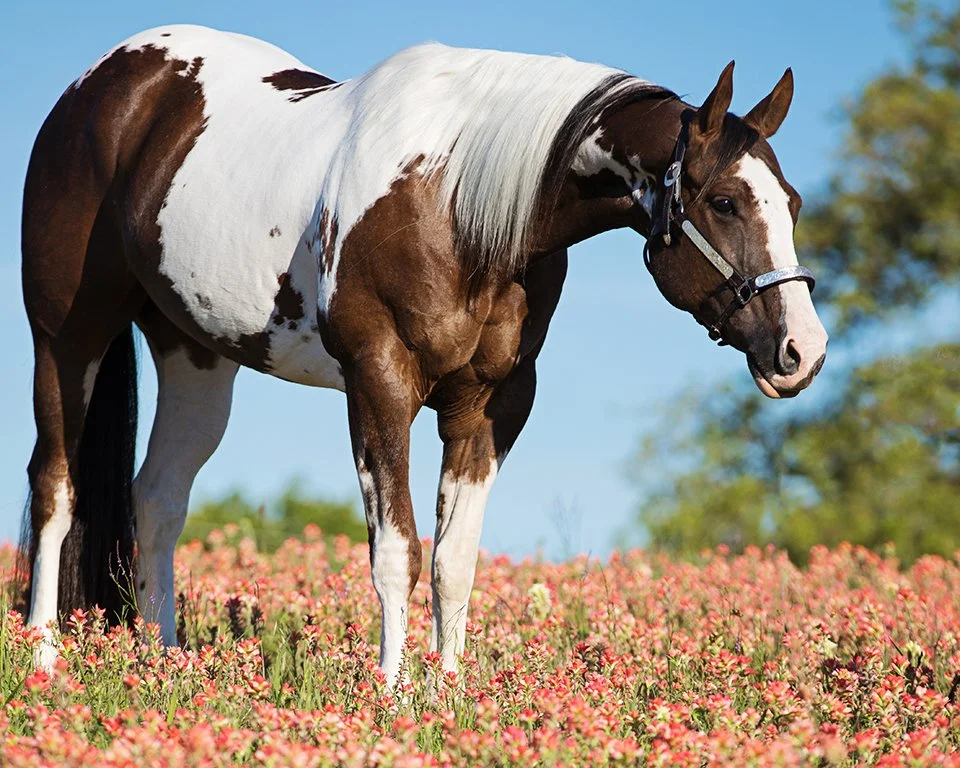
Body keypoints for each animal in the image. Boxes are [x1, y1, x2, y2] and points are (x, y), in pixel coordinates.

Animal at [20, 25, 827, 683]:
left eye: (790, 202)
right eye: (723, 202)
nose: (803, 351)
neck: (459, 198)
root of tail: (101, 84)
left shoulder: (491, 404)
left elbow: (453, 561)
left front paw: (448, 695)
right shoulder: (379, 383)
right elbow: (397, 551)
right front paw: (393, 695)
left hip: (195, 356)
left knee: (157, 500)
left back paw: (164, 663)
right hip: (66, 339)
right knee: (56, 487)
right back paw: (44, 658)